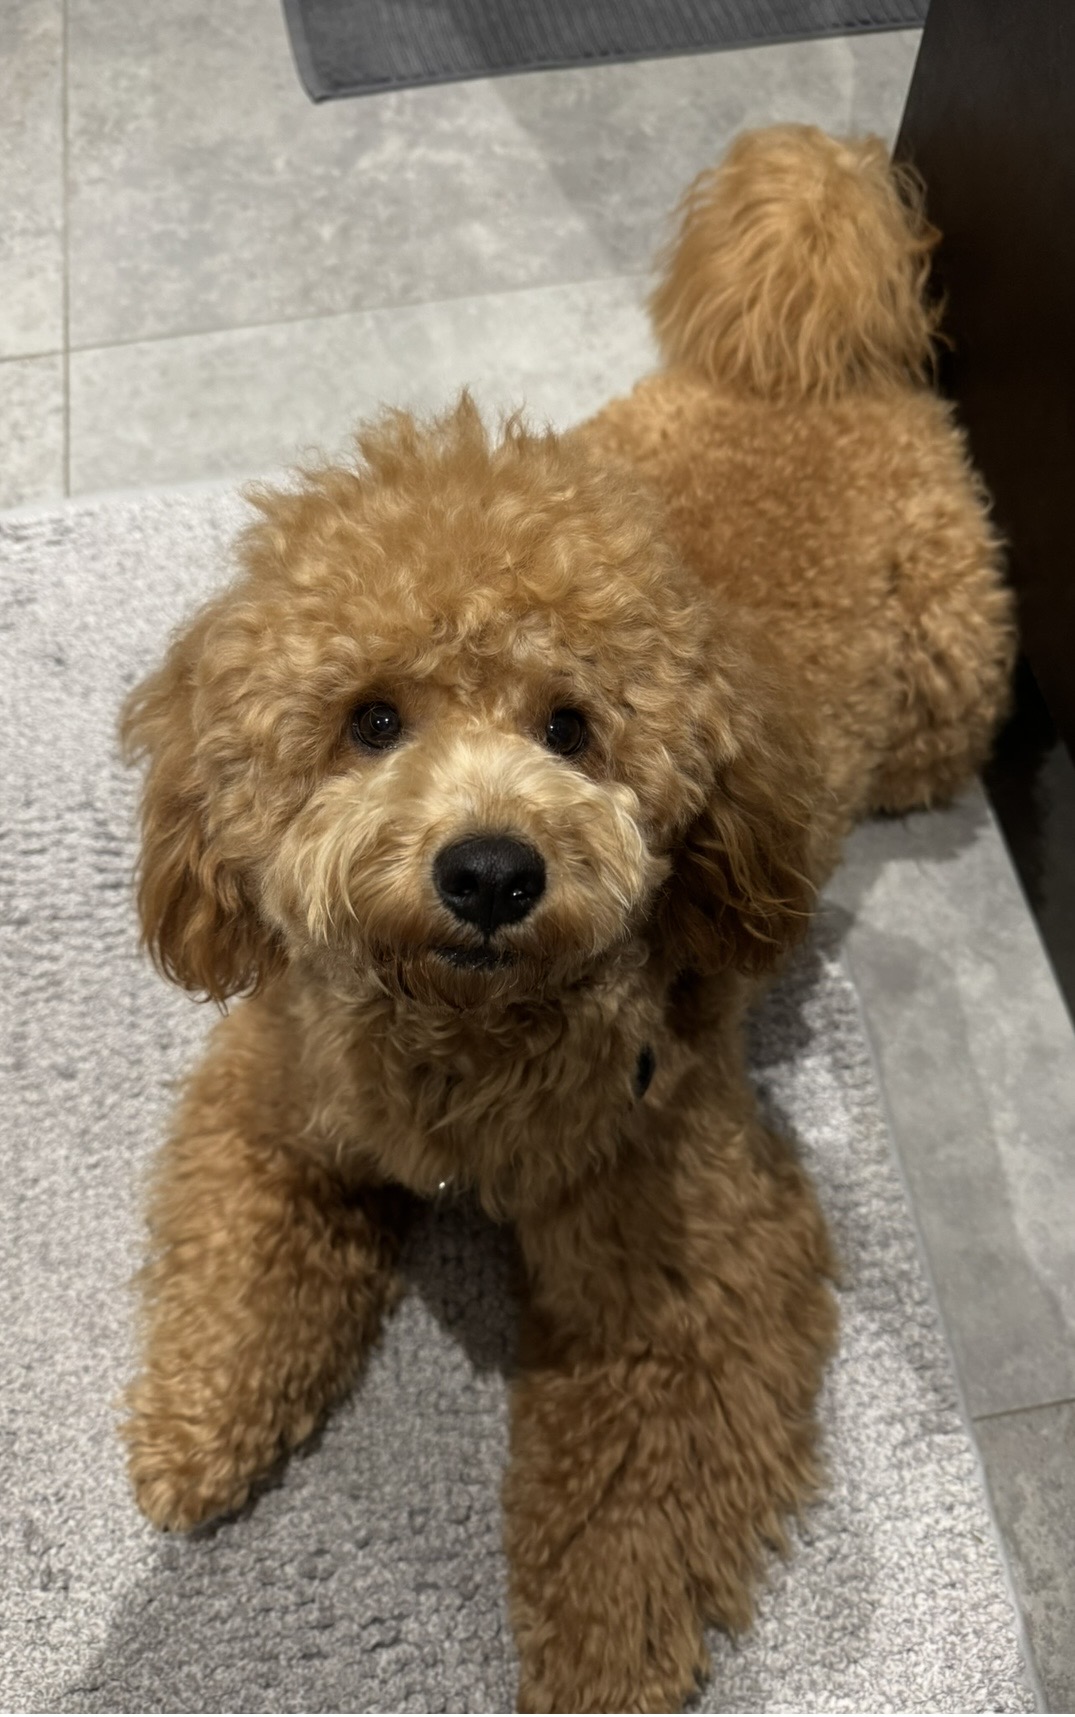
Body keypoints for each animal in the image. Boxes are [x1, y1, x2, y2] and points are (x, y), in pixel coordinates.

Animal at [119, 126, 1014, 1713]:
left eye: (571, 726)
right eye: (371, 719)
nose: (488, 872)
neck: (461, 1042)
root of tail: (799, 368)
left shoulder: (681, 1249)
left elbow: (626, 1505)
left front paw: (598, 1656)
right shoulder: (276, 1099)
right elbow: (239, 1270)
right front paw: (195, 1427)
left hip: (950, 673)